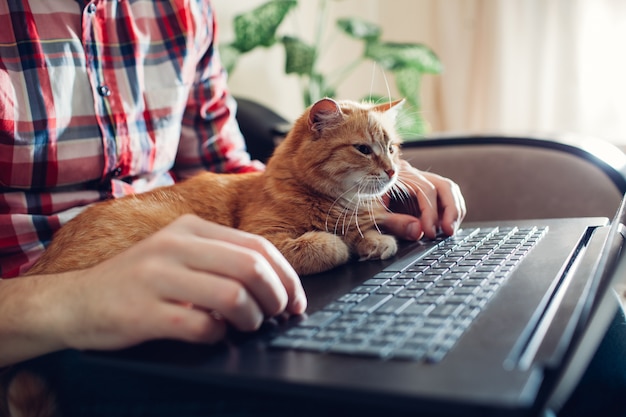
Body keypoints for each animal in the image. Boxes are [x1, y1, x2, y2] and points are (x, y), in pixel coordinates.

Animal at [26, 97, 402, 276]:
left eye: (392, 148)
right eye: (363, 149)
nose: (393, 170)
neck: (338, 205)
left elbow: (369, 236)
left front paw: (372, 241)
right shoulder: (266, 237)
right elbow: (327, 245)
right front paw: (345, 244)